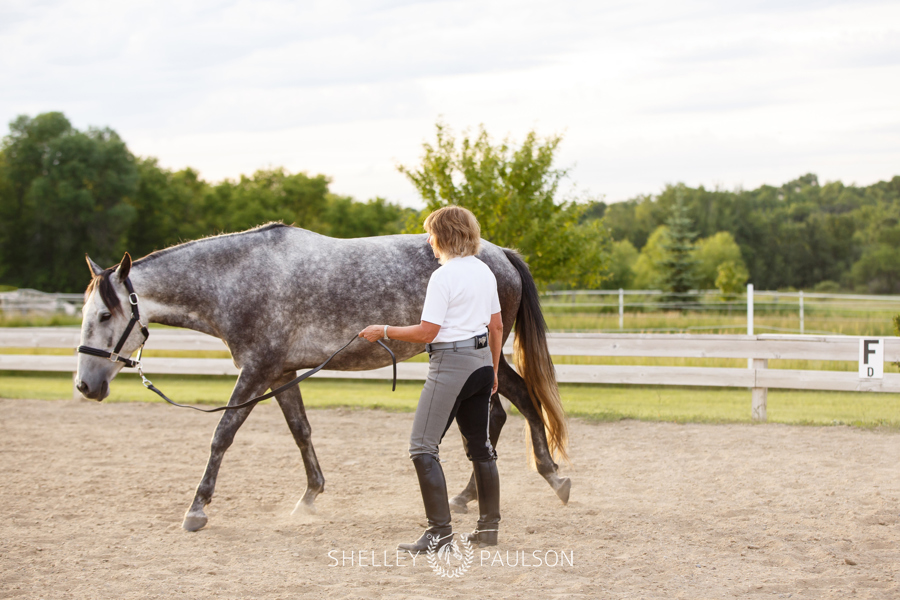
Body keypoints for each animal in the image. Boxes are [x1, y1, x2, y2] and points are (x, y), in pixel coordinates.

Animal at [77, 223, 568, 532]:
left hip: (486, 353)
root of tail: (500, 254)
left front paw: (197, 509)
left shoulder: (256, 370)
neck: (238, 279)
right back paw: (468, 498)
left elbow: (222, 434)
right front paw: (310, 497)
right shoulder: (281, 372)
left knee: (518, 405)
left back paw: (552, 477)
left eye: (103, 315)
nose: (84, 385)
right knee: (501, 414)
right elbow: (301, 430)